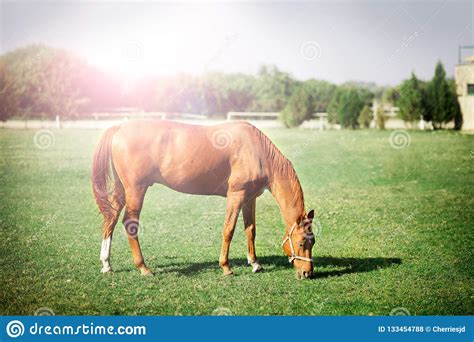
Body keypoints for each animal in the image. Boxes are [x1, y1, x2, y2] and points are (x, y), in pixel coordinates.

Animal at [91, 119, 316, 278]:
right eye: (301, 242)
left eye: (312, 242)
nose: (307, 273)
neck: (256, 150)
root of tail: (120, 127)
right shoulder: (236, 195)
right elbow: (229, 230)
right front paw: (226, 267)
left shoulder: (249, 198)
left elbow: (250, 231)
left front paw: (255, 263)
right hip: (136, 190)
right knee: (129, 223)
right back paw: (143, 267)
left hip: (123, 190)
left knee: (111, 219)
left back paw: (106, 264)